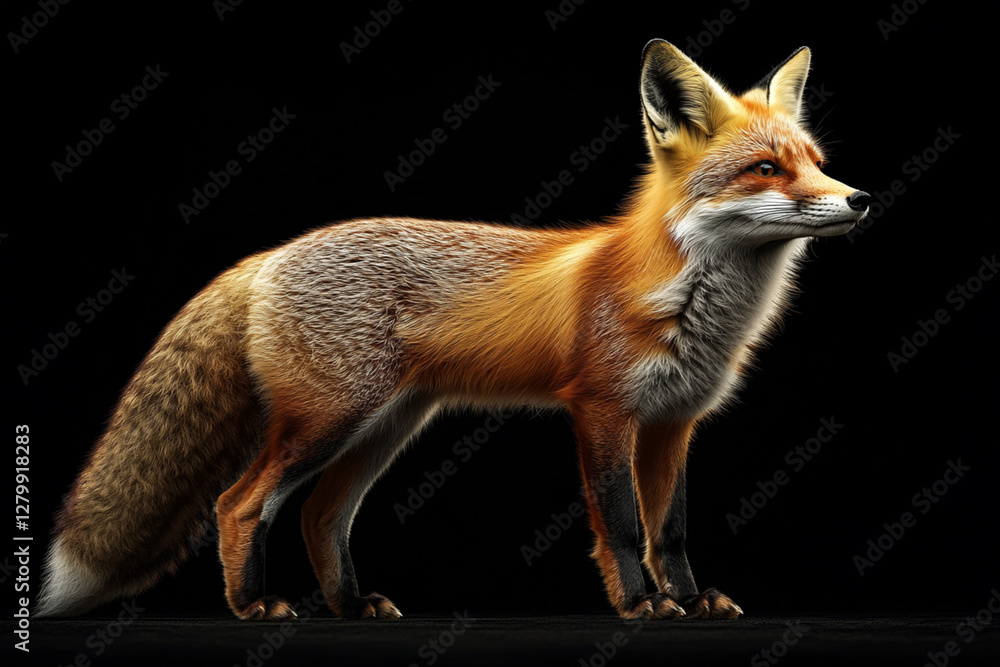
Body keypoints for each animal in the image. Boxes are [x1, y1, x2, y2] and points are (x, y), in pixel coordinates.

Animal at [37, 40, 868, 622]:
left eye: (818, 163)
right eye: (766, 168)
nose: (860, 198)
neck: (689, 300)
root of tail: (271, 255)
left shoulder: (672, 422)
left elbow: (671, 530)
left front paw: (691, 601)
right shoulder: (601, 409)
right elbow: (624, 527)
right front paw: (642, 605)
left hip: (385, 425)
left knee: (318, 513)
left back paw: (349, 606)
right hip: (331, 418)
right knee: (240, 503)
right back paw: (252, 605)